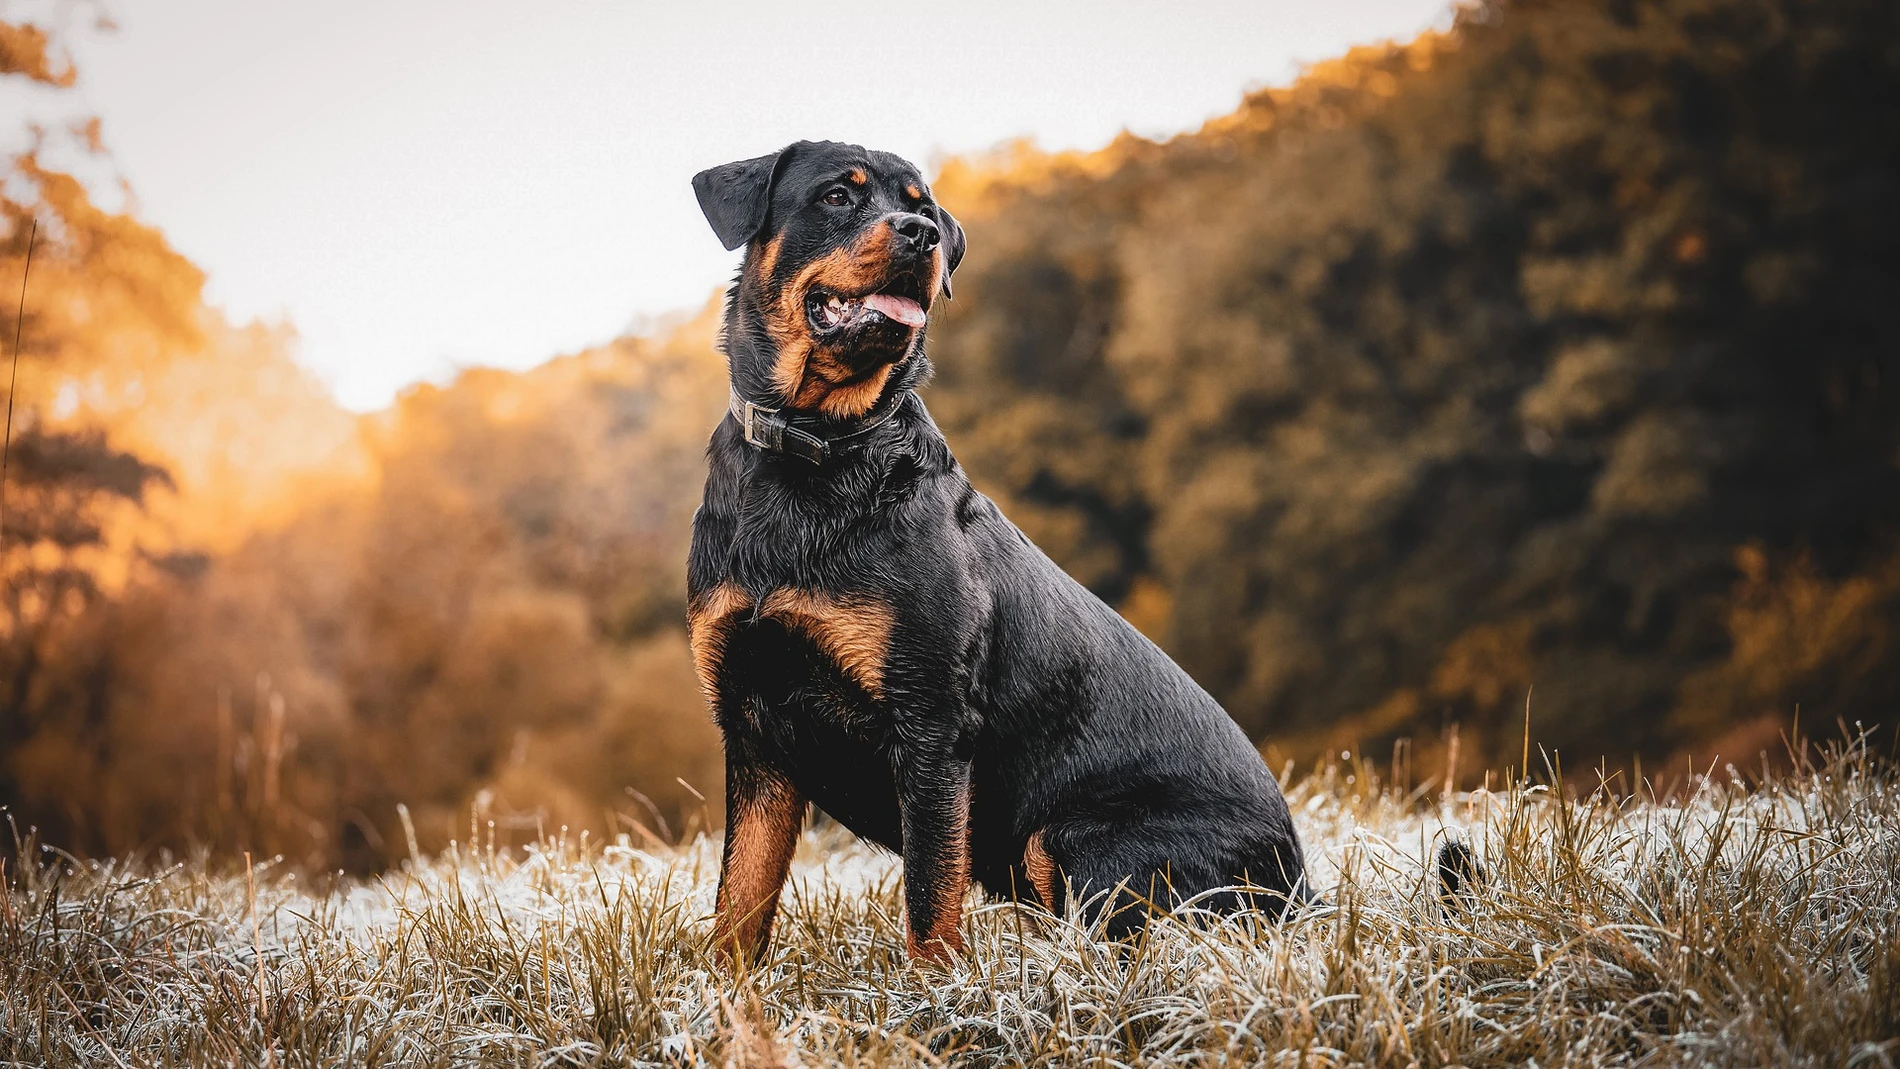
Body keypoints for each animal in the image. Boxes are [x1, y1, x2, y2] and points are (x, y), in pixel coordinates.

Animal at [691, 137, 1314, 964]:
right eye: (836, 196)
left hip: (1072, 838)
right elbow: (739, 902)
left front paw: (935, 996)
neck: (817, 447)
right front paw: (723, 996)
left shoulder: (930, 726)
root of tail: (1303, 887)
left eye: (922, 207)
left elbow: (930, 901)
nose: (920, 235)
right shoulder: (753, 728)